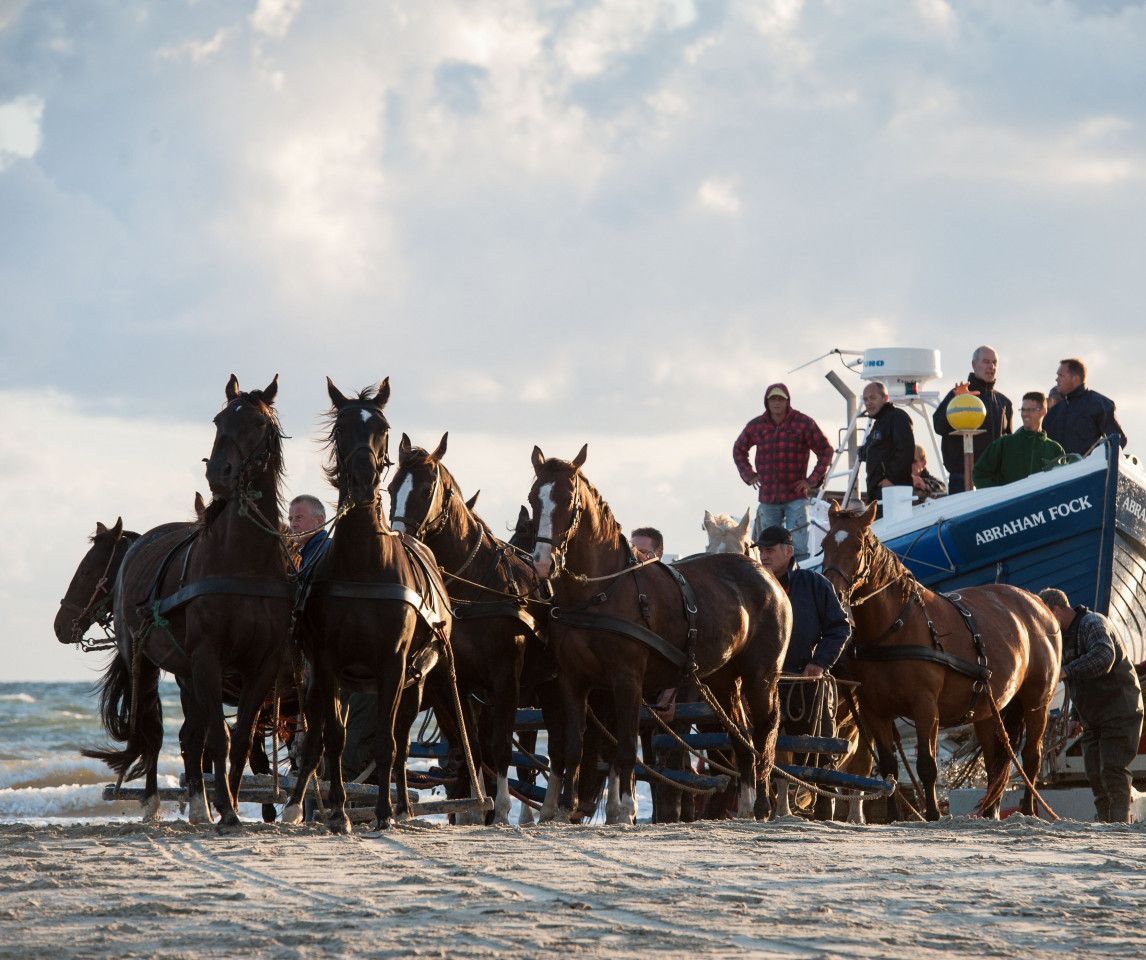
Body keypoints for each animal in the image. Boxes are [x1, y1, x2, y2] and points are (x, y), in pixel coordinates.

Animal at [85, 371, 295, 829]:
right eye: (218, 420)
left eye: (258, 423)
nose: (220, 473)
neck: (242, 561)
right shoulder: (207, 656)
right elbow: (219, 737)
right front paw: (228, 809)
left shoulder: (263, 664)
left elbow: (241, 738)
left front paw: (227, 800)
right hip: (144, 660)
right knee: (154, 731)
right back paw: (157, 801)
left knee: (189, 735)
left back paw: (200, 804)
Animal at [279, 375, 458, 833]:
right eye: (342, 428)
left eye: (382, 427)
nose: (362, 477)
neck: (363, 563)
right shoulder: (327, 664)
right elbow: (335, 740)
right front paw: (340, 812)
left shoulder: (393, 664)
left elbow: (388, 743)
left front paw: (383, 812)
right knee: (322, 736)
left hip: (416, 680)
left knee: (402, 736)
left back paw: (404, 805)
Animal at [389, 435, 559, 824]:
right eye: (390, 488)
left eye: (426, 489)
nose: (399, 539)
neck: (474, 586)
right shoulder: (460, 683)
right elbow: (475, 747)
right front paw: (478, 809)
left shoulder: (505, 679)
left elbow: (499, 747)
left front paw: (501, 811)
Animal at [524, 446, 788, 824]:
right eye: (534, 499)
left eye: (568, 499)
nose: (543, 563)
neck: (599, 592)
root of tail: (765, 575)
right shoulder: (572, 680)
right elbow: (573, 745)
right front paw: (562, 808)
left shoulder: (627, 679)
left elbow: (624, 748)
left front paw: (626, 809)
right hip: (723, 680)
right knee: (741, 738)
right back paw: (747, 806)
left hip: (761, 675)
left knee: (764, 731)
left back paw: (764, 804)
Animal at [820, 499, 1058, 824]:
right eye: (824, 544)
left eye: (857, 546)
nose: (830, 590)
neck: (895, 626)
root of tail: (1036, 603)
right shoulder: (874, 711)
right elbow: (888, 768)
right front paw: (894, 816)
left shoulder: (925, 707)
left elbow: (926, 766)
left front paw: (932, 813)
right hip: (989, 709)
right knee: (996, 761)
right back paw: (990, 812)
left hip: (1037, 703)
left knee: (1031, 757)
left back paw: (1029, 810)